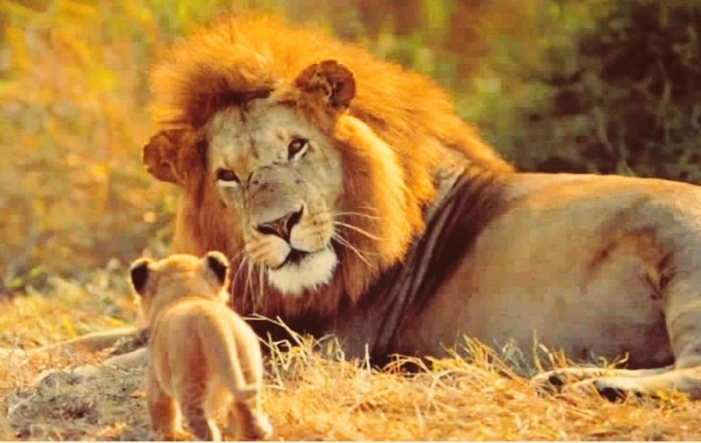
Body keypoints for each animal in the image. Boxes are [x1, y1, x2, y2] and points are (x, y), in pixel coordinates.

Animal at [31, 11, 701, 402]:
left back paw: (590, 384)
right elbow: (103, 336)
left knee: (693, 371)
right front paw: (38, 356)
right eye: (228, 177)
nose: (280, 224)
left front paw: (59, 380)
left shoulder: (318, 347)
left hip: (683, 261)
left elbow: (141, 354)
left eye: (296, 146)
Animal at [129, 251, 272, 441]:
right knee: (248, 411)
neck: (186, 296)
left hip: (190, 383)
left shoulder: (155, 375)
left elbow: (160, 406)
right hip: (247, 369)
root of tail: (210, 320)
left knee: (203, 426)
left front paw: (167, 434)